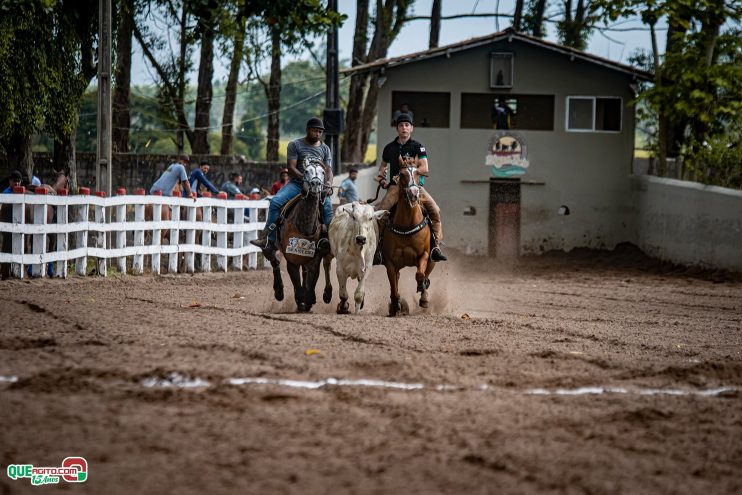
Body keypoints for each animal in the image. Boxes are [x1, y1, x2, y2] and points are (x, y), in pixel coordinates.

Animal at [384, 157, 436, 316]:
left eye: (418, 173)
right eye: (401, 174)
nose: (414, 194)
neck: (406, 226)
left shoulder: (424, 254)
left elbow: (420, 275)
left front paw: (423, 294)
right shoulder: (390, 262)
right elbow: (394, 289)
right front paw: (396, 306)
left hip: (433, 258)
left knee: (426, 273)